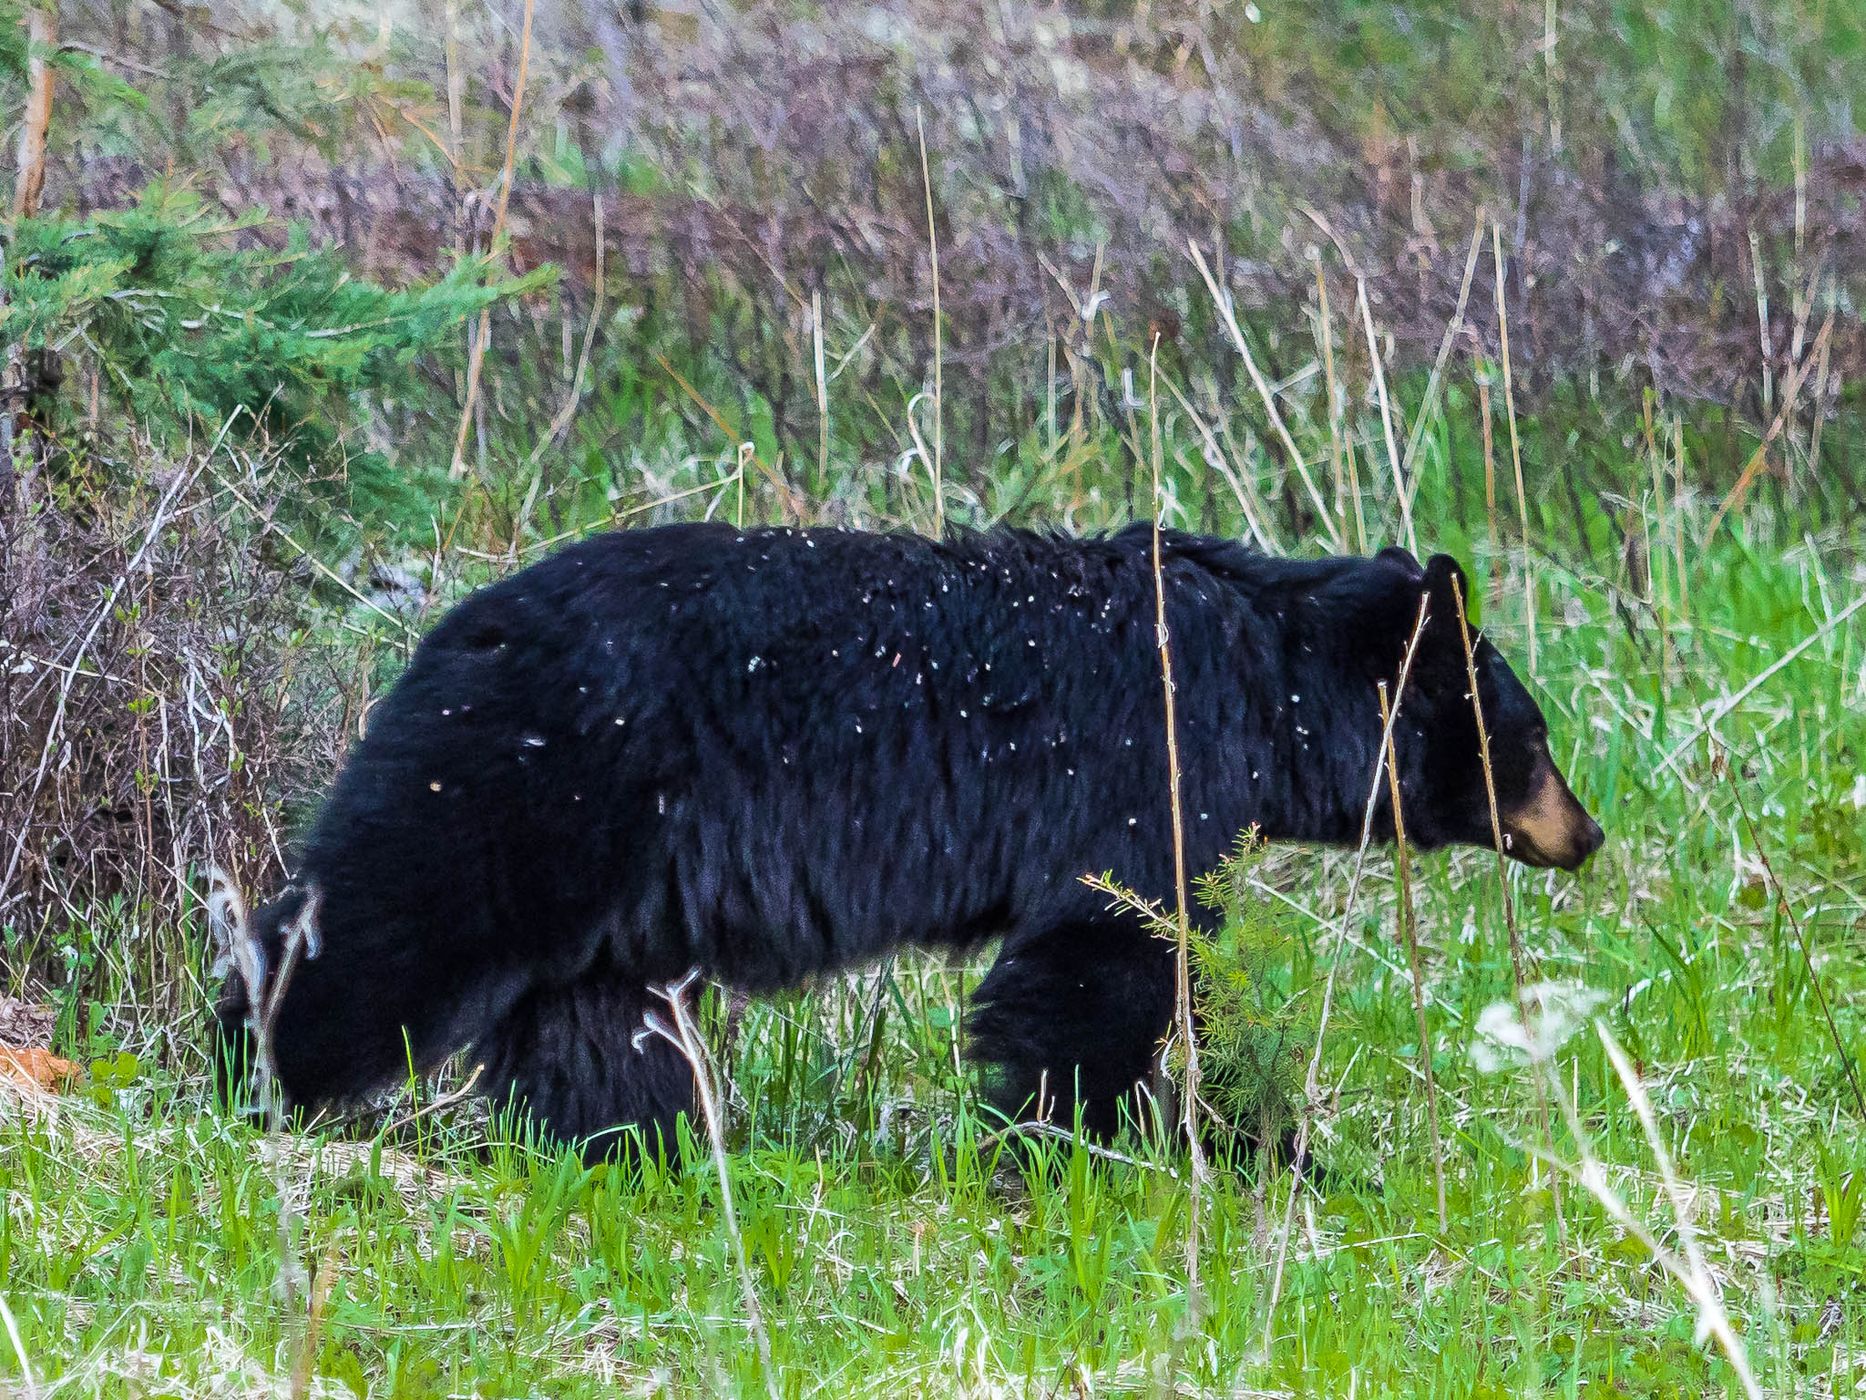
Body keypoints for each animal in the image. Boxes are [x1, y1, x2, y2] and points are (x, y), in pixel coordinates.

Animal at [215, 522, 1602, 1162]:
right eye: (1531, 733)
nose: (1585, 831)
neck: (1263, 679)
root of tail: (454, 628)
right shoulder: (1145, 771)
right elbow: (1102, 954)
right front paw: (1076, 1130)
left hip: (616, 868)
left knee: (597, 1017)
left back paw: (642, 1140)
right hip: (537, 784)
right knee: (390, 921)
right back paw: (254, 1063)